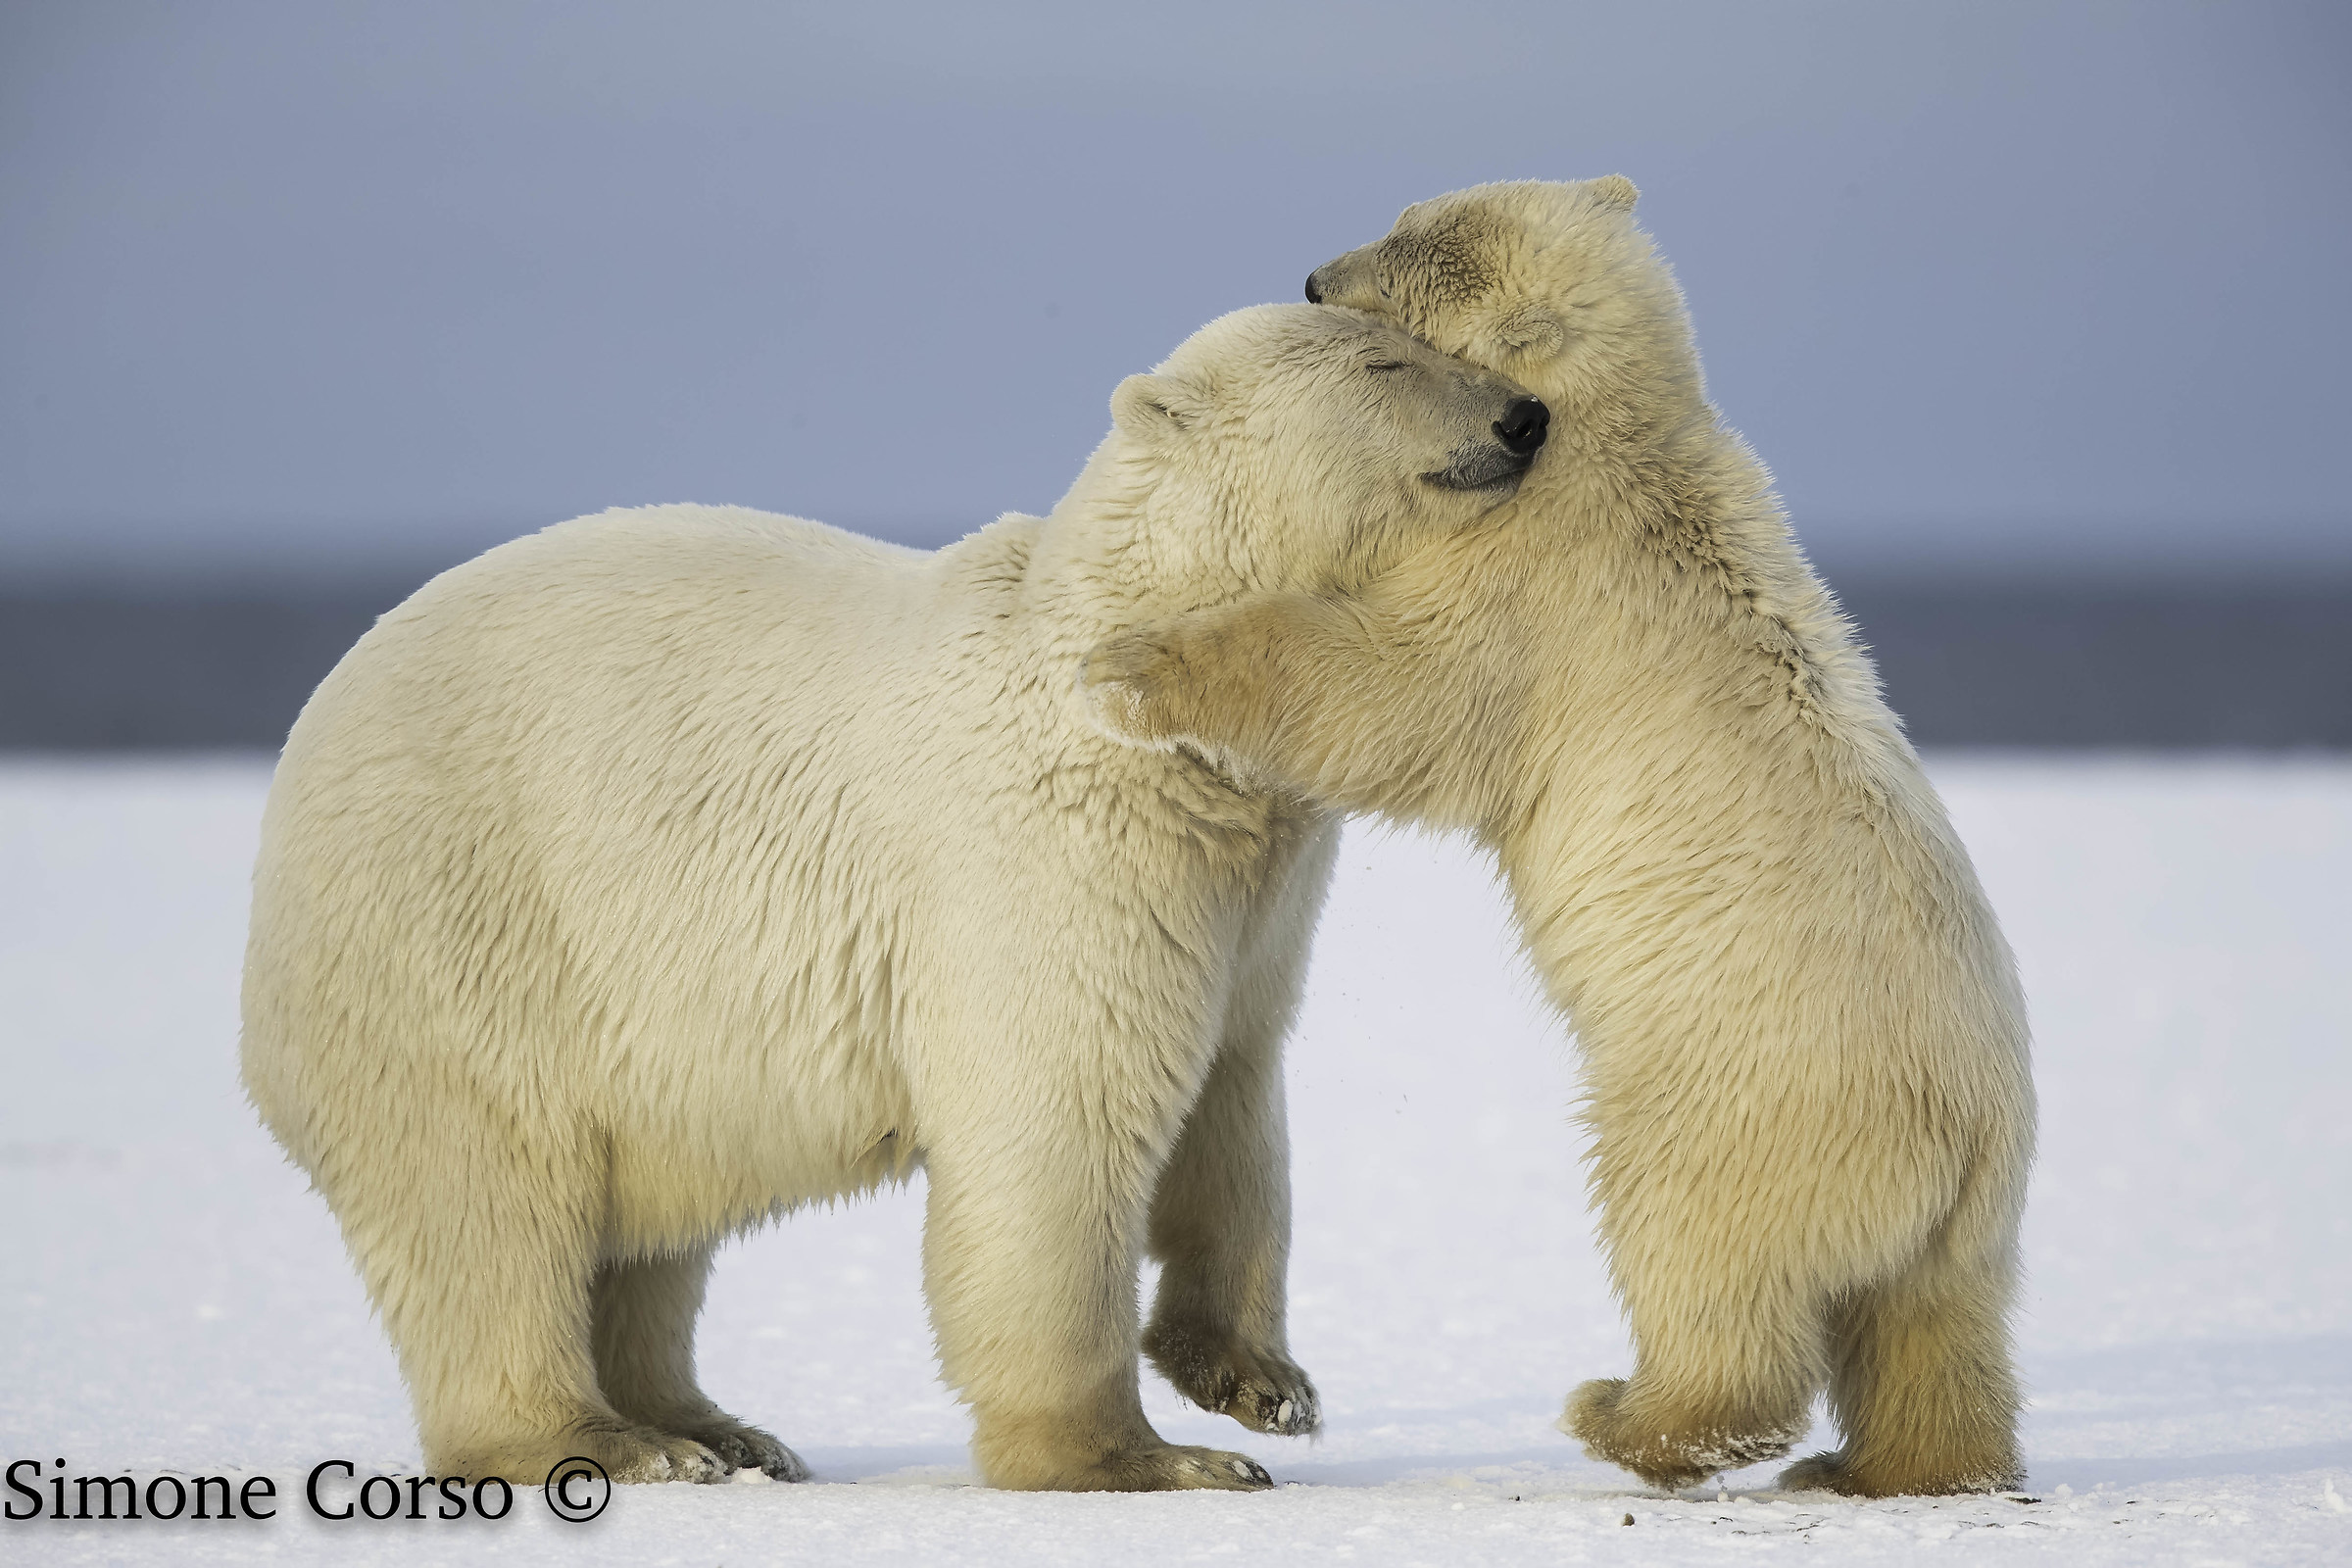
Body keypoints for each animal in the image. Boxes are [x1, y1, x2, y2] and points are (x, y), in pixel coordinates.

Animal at [239, 301, 1549, 1493]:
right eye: (1387, 361)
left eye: (1429, 343)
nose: (1524, 416)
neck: (1133, 704)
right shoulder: (1051, 848)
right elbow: (1065, 1117)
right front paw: (1143, 1459)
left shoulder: (1255, 886)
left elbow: (1236, 1092)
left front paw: (1261, 1382)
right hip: (462, 923)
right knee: (490, 1202)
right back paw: (610, 1440)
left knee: (648, 1227)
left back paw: (723, 1430)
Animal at [1081, 179, 2036, 1498]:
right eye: (1404, 213)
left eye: (1408, 255)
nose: (1315, 275)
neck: (1617, 434)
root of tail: (1967, 1135)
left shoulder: (1534, 576)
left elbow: (1384, 694)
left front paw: (1135, 667)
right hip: (1968, 1223)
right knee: (1933, 1329)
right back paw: (1890, 1468)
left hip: (1740, 1098)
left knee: (1694, 1253)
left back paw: (1632, 1414)